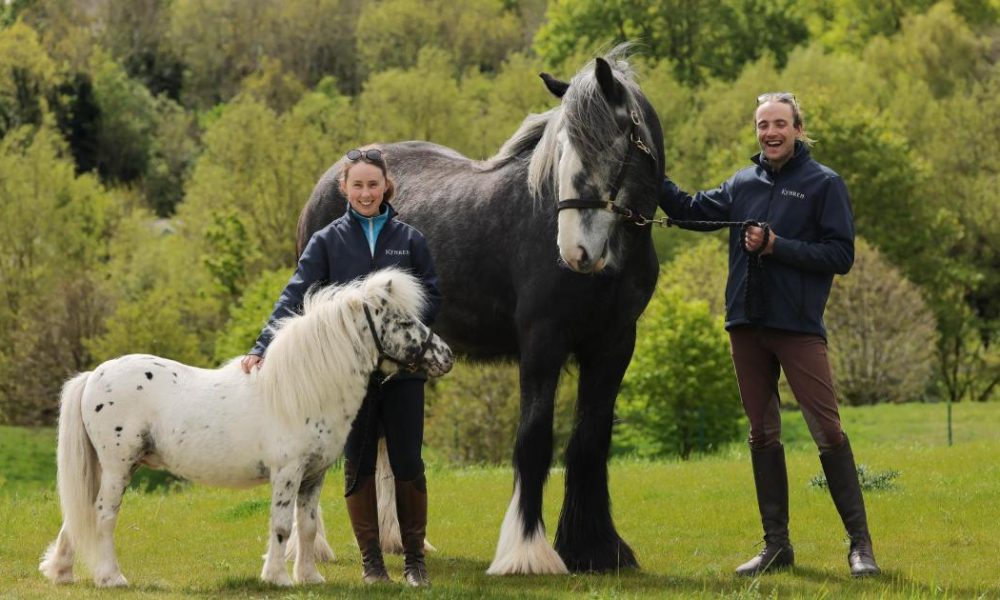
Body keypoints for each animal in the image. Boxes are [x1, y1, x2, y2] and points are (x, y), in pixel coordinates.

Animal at [38, 269, 454, 587]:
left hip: (104, 467)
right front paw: (278, 578)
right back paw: (111, 578)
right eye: (404, 321)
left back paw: (62, 572)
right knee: (103, 515)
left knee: (79, 516)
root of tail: (94, 376)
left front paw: (310, 577)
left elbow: (306, 526)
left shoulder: (313, 476)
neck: (301, 389)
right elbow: (282, 525)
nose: (446, 356)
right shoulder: (287, 473)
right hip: (118, 467)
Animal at [296, 46, 665, 574]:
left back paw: (392, 538)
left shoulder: (614, 346)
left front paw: (596, 548)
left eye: (605, 149)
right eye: (561, 154)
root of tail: (332, 180)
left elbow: (590, 442)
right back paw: (312, 547)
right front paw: (527, 552)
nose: (575, 251)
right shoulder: (543, 343)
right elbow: (533, 440)